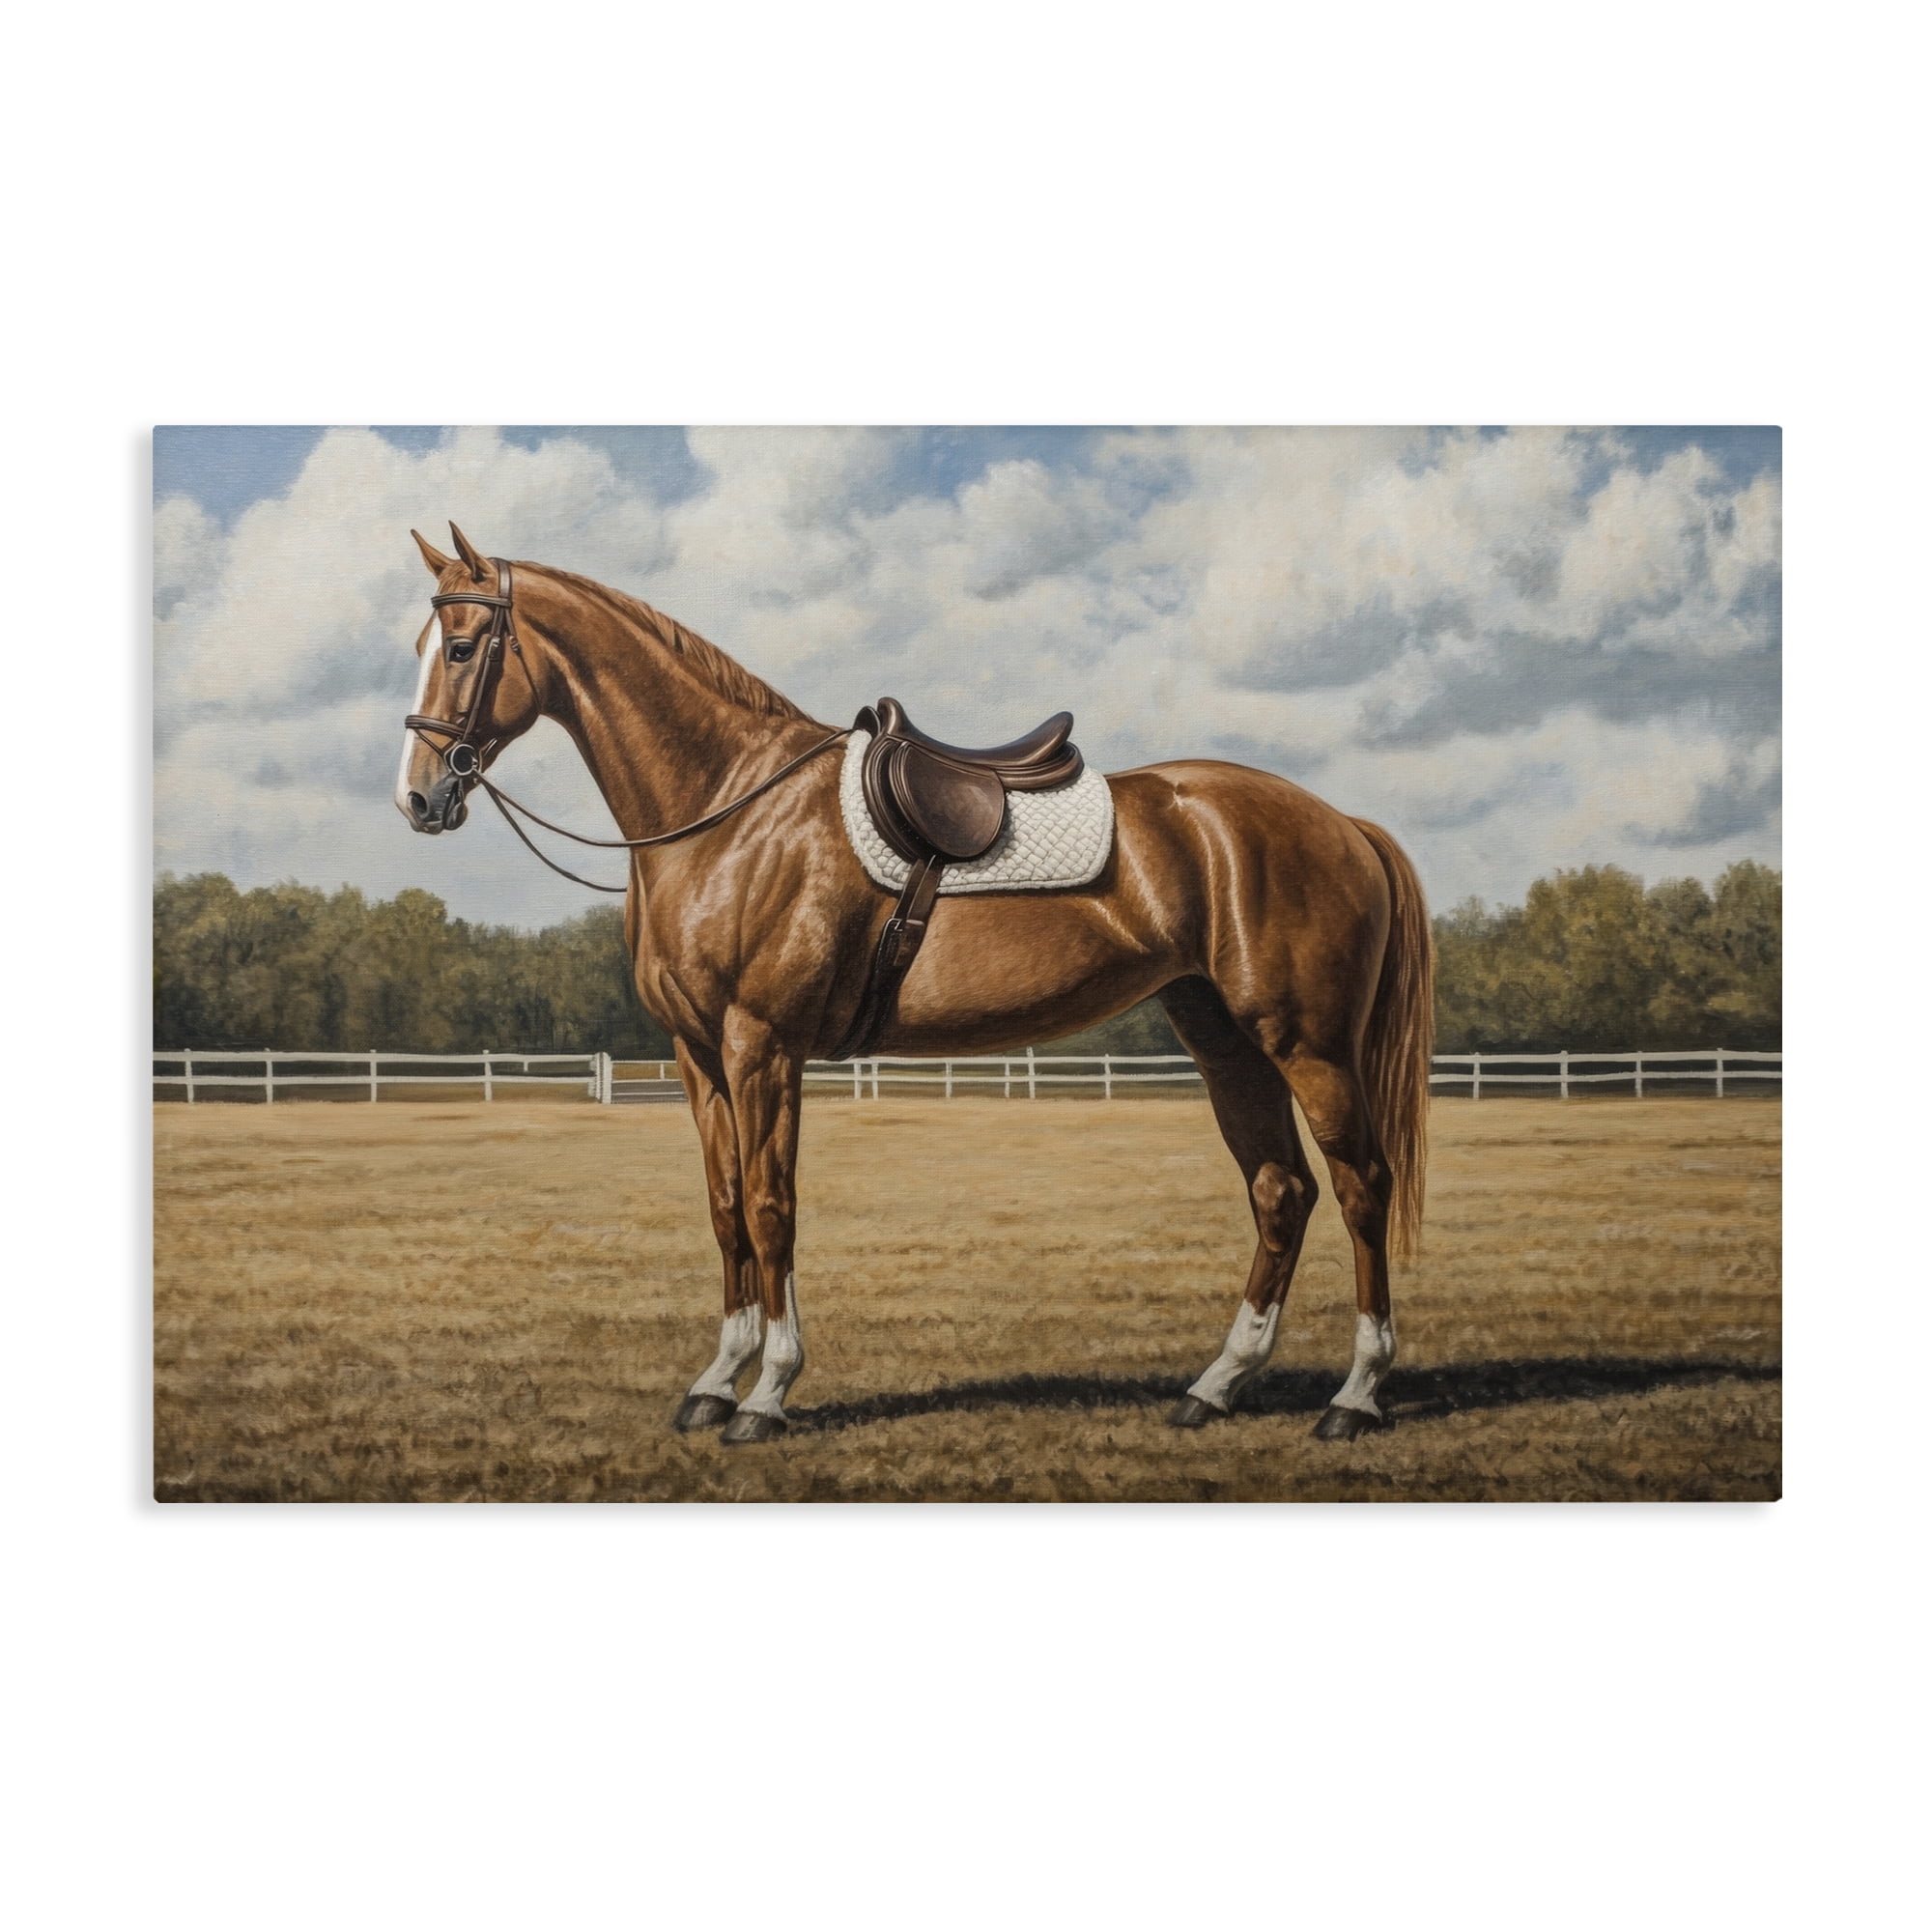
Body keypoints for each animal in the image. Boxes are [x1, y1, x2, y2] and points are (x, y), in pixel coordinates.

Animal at [396, 523, 1434, 1445]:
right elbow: (727, 1208)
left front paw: (768, 1393)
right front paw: (715, 1382)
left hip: (1308, 1044)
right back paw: (1215, 1387)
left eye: (461, 646)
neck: (728, 810)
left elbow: (772, 1206)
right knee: (1280, 1190)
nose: (419, 797)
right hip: (1224, 1040)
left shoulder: (761, 1044)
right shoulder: (697, 1054)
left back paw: (1354, 1397)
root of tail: (1340, 821)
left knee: (1361, 1184)